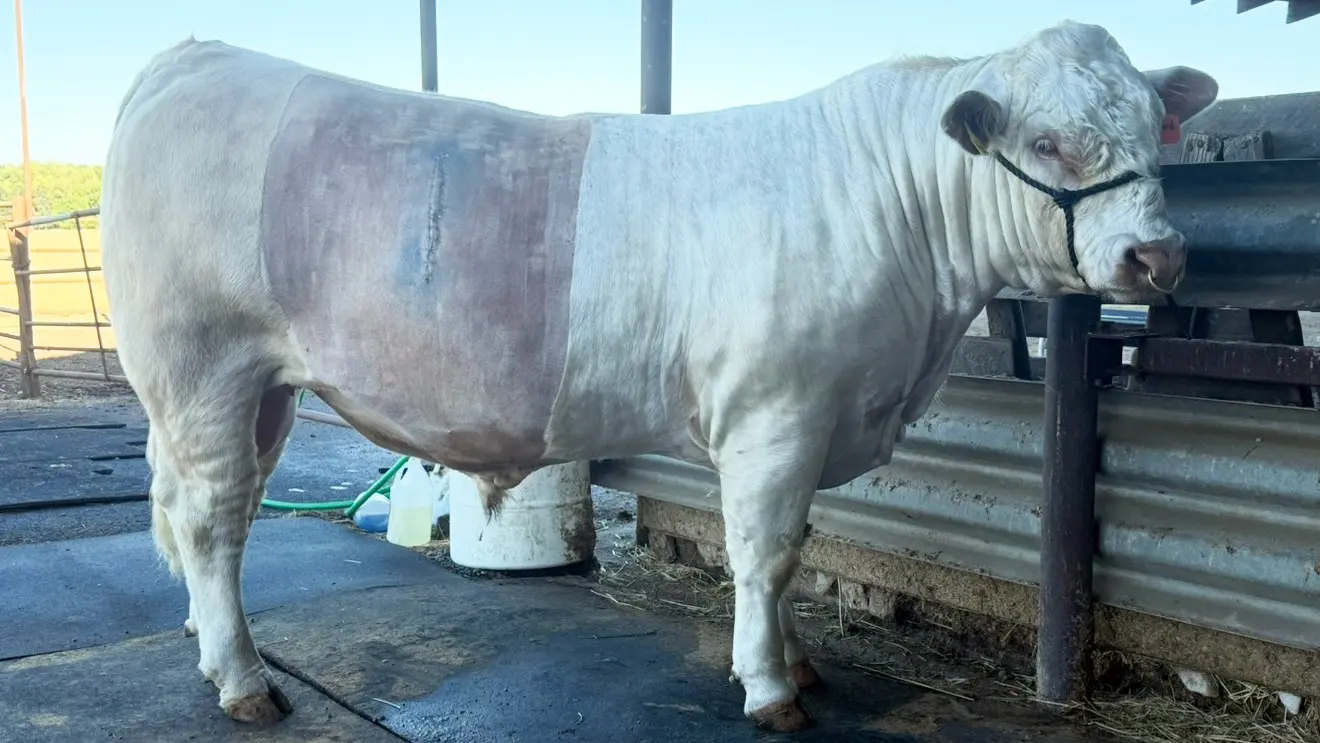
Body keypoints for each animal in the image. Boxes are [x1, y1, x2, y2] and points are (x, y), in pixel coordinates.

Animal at [99, 20, 1217, 733]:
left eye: (1155, 129)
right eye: (1049, 141)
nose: (1157, 256)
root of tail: (192, 56)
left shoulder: (812, 416)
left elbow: (797, 551)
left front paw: (798, 658)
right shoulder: (776, 411)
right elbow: (766, 553)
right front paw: (771, 687)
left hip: (264, 391)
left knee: (217, 517)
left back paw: (209, 641)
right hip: (204, 367)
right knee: (212, 519)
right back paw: (243, 679)